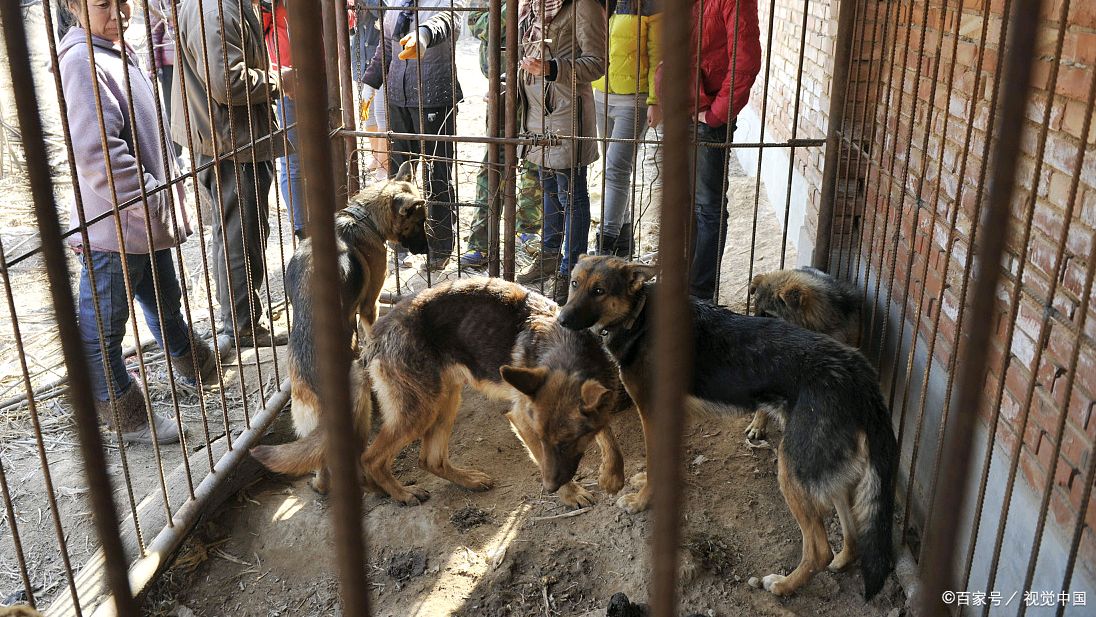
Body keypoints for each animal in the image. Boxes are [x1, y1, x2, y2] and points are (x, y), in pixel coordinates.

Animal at [250, 162, 427, 495]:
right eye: (419, 222)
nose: (425, 248)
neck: (362, 216)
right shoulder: (370, 304)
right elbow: (370, 329)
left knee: (323, 464)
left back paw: (322, 486)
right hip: (358, 399)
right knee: (359, 457)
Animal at [363, 277, 631, 508]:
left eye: (567, 442)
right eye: (541, 439)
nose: (549, 488)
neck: (564, 348)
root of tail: (379, 330)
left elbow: (608, 435)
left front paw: (613, 475)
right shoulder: (521, 419)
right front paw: (571, 493)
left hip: (446, 400)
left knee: (430, 459)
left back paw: (467, 480)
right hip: (421, 410)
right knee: (371, 459)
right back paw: (401, 493)